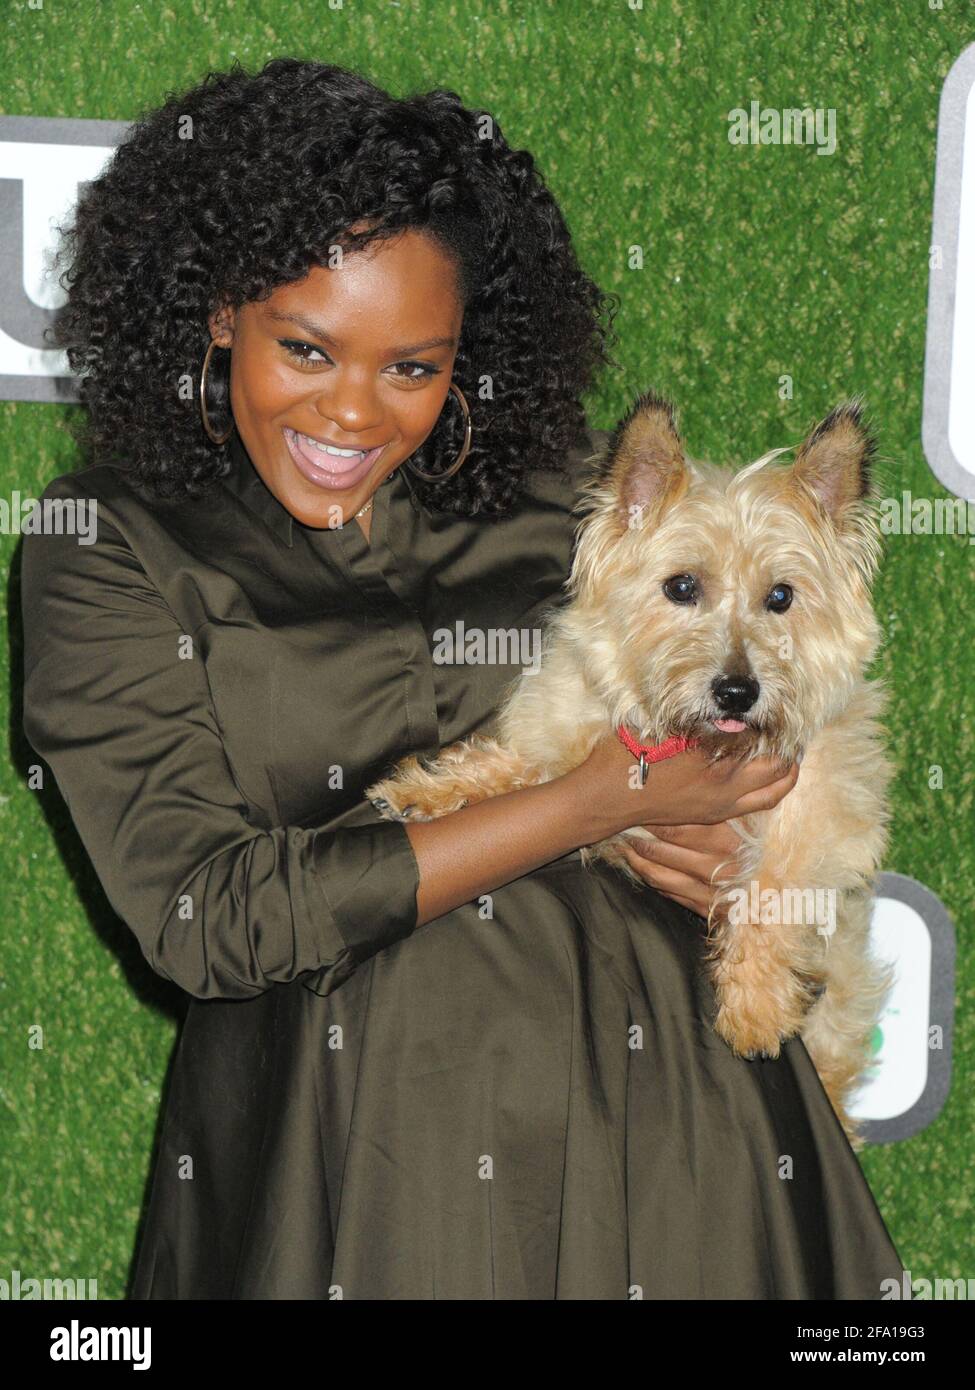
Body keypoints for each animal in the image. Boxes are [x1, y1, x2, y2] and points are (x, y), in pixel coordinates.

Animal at [367, 394, 895, 1150]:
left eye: (781, 597)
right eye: (681, 587)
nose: (737, 692)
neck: (684, 742)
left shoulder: (825, 807)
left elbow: (772, 887)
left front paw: (755, 1008)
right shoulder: (566, 738)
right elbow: (511, 766)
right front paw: (428, 788)